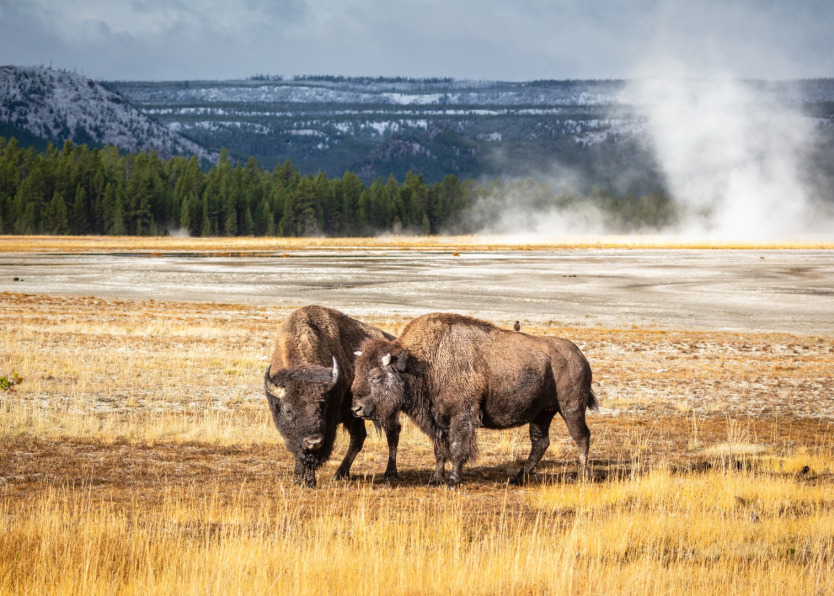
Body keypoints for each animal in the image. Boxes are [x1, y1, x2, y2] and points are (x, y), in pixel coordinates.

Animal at [264, 305, 399, 488]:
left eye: (323, 406)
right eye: (288, 410)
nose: (313, 442)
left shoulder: (328, 428)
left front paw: (309, 482)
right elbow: (298, 450)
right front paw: (297, 479)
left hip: (384, 411)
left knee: (392, 433)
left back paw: (389, 474)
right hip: (354, 415)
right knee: (358, 438)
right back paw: (340, 474)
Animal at [351, 313, 597, 488]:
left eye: (376, 376)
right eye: (357, 371)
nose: (356, 408)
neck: (422, 364)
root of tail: (579, 355)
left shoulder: (462, 416)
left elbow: (457, 448)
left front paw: (453, 482)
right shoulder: (437, 421)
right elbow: (440, 450)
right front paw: (434, 480)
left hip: (571, 408)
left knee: (581, 436)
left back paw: (583, 477)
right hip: (542, 414)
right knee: (540, 442)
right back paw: (517, 478)